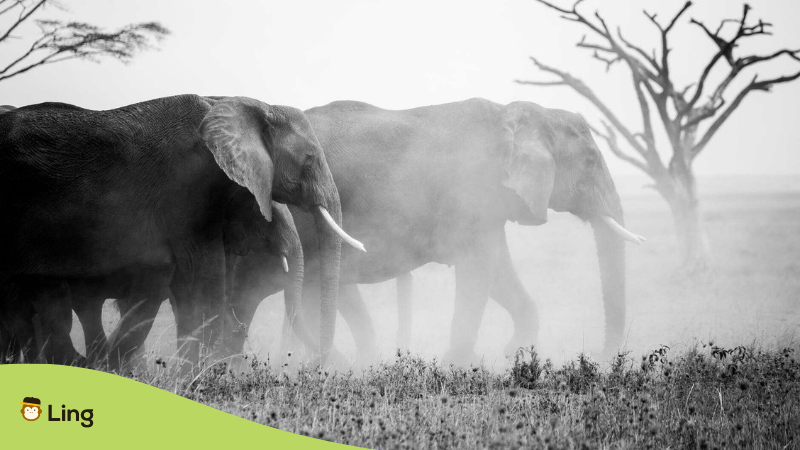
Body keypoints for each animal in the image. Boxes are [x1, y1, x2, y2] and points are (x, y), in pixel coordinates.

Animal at [0, 94, 360, 366]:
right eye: (310, 159)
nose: (314, 365)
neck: (247, 104)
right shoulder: (188, 189)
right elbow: (206, 276)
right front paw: (204, 378)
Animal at [217, 96, 644, 364]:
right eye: (590, 162)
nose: (602, 360)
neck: (520, 111)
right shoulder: (473, 191)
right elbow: (480, 270)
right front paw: (460, 364)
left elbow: (497, 272)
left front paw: (510, 354)